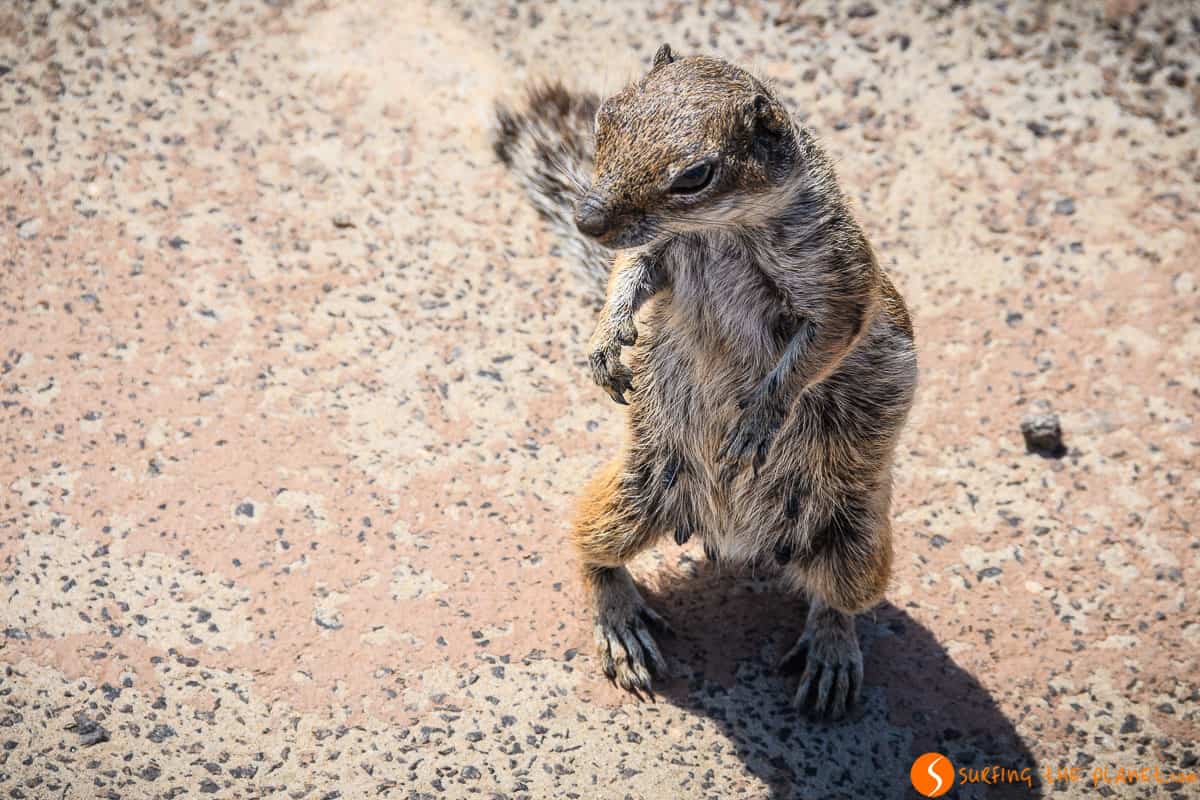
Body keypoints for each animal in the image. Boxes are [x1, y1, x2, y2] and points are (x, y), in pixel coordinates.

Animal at [494, 44, 917, 719]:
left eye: (695, 176)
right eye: (604, 121)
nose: (588, 220)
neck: (715, 232)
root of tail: (736, 542)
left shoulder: (837, 281)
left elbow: (818, 346)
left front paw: (758, 419)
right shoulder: (656, 251)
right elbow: (629, 271)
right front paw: (605, 343)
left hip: (857, 543)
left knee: (837, 600)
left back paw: (832, 653)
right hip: (629, 494)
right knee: (591, 551)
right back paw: (621, 626)